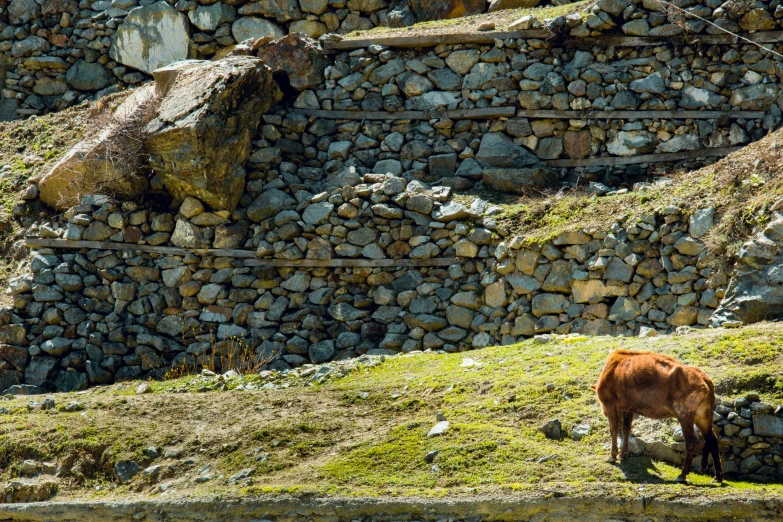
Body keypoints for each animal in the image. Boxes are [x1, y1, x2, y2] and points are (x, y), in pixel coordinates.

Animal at [596, 348, 724, 482]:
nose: (603, 412)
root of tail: (705, 380)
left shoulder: (611, 404)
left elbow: (614, 429)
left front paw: (612, 456)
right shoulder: (627, 408)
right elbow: (626, 429)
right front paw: (622, 455)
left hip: (685, 416)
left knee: (691, 443)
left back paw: (682, 475)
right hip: (702, 416)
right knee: (711, 439)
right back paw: (717, 476)